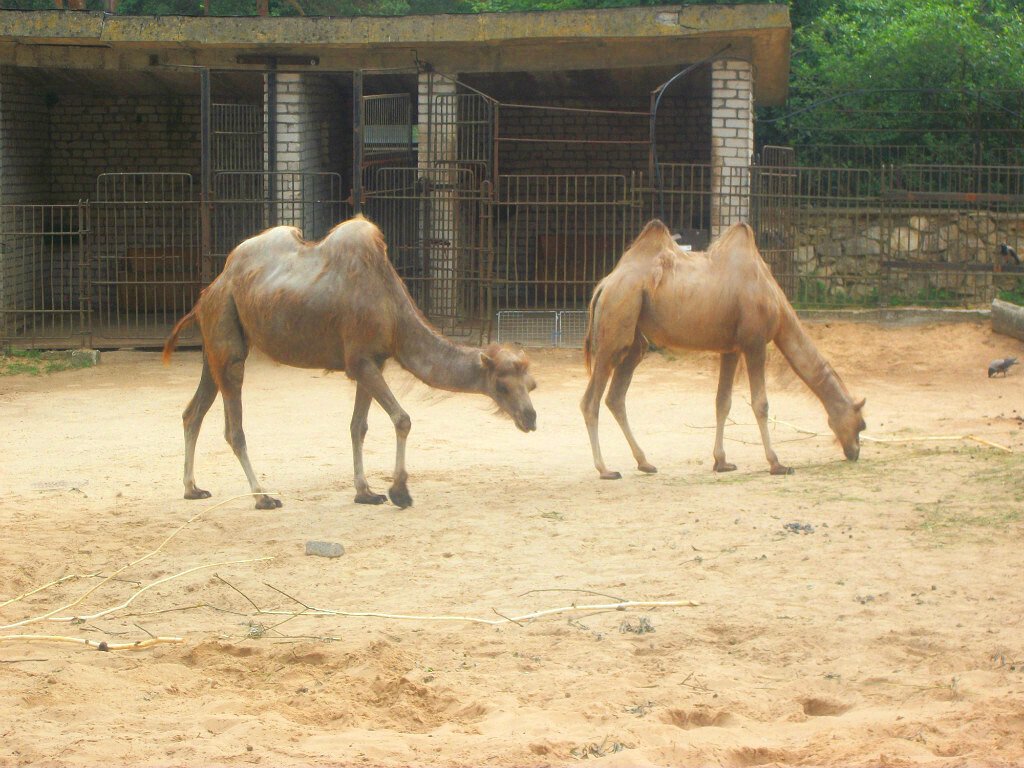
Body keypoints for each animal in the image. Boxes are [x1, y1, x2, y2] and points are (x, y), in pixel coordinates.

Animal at [163, 215, 537, 509]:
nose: (530, 418)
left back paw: (192, 488)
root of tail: (210, 290)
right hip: (227, 338)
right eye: (502, 385)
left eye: (531, 384)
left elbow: (359, 426)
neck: (394, 312)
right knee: (233, 429)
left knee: (192, 412)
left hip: (215, 344)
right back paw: (263, 497)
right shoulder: (360, 361)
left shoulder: (374, 362)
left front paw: (366, 492)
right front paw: (400, 492)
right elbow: (402, 419)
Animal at [581, 219, 865, 479]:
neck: (776, 302)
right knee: (590, 400)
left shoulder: (732, 348)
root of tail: (604, 285)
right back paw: (605, 469)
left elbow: (723, 402)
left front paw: (721, 462)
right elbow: (761, 403)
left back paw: (645, 463)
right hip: (616, 323)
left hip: (634, 338)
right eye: (861, 424)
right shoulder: (755, 342)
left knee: (615, 397)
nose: (854, 453)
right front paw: (777, 464)